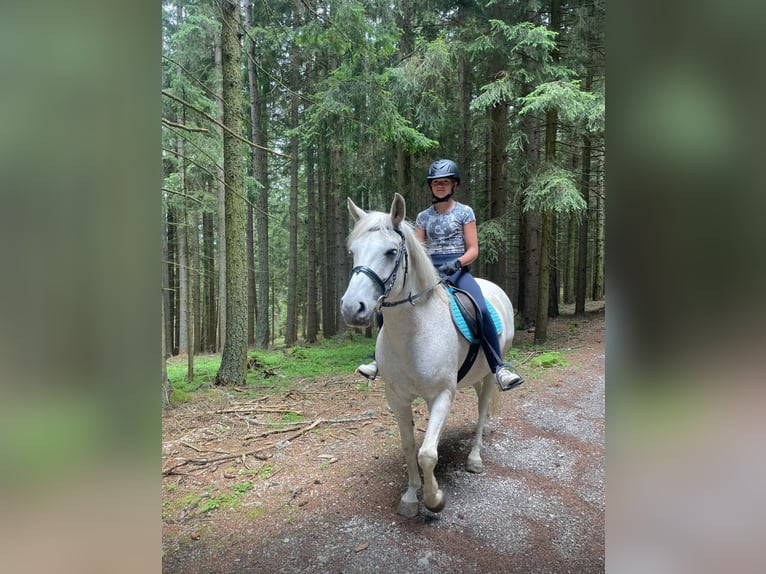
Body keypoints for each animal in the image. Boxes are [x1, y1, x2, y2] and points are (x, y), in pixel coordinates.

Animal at [340, 193, 517, 517]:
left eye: (391, 251)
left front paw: (434, 498)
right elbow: (409, 446)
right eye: (353, 251)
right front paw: (411, 496)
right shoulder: (396, 397)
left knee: (482, 408)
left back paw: (475, 458)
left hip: (489, 374)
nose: (351, 308)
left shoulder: (442, 395)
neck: (413, 333)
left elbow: (427, 453)